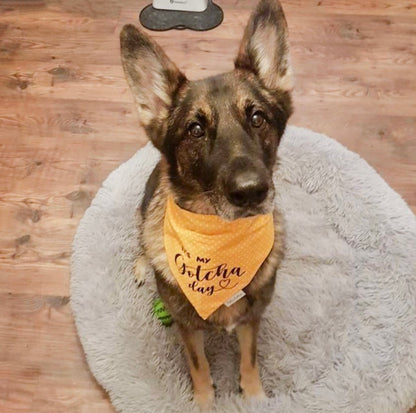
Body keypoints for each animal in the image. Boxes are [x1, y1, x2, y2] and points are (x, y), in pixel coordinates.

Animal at [120, 0, 292, 408]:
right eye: (196, 129)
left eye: (257, 118)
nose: (251, 192)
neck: (221, 241)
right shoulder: (187, 327)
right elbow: (199, 368)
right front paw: (203, 402)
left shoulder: (251, 320)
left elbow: (249, 360)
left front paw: (255, 396)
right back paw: (141, 263)